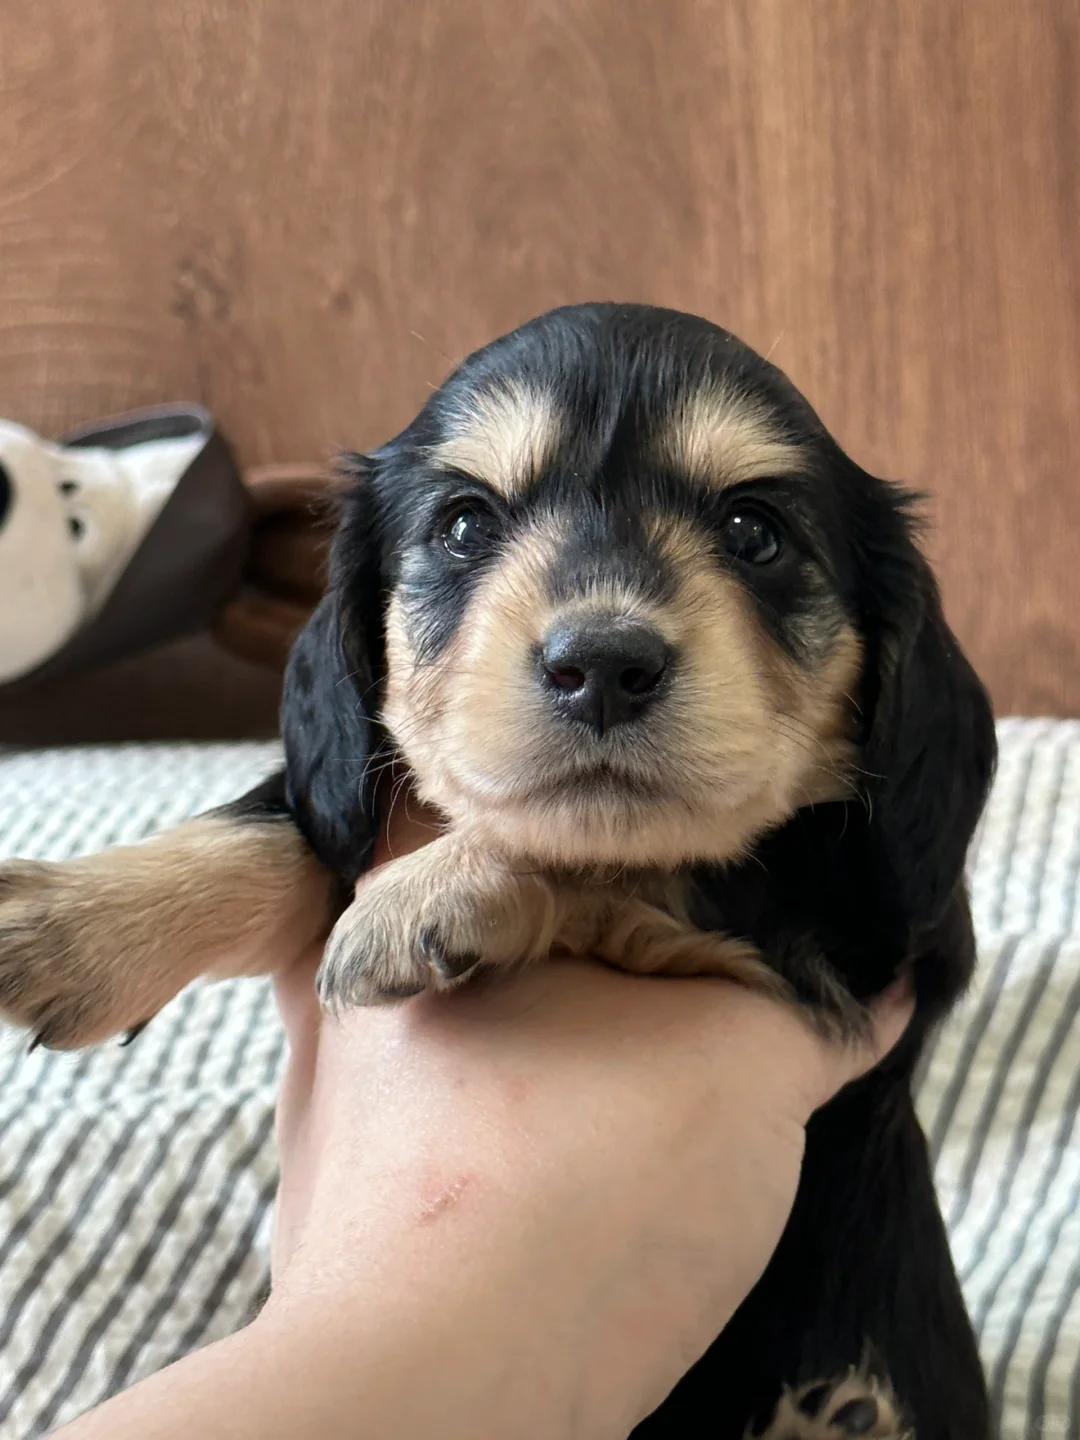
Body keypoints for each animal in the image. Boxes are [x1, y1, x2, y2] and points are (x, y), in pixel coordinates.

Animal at [0, 303, 996, 1438]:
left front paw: (430, 891)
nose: (601, 665)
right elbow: (283, 819)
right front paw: (74, 924)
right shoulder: (344, 797)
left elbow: (632, 854)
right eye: (465, 526)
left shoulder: (859, 921)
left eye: (755, 532)